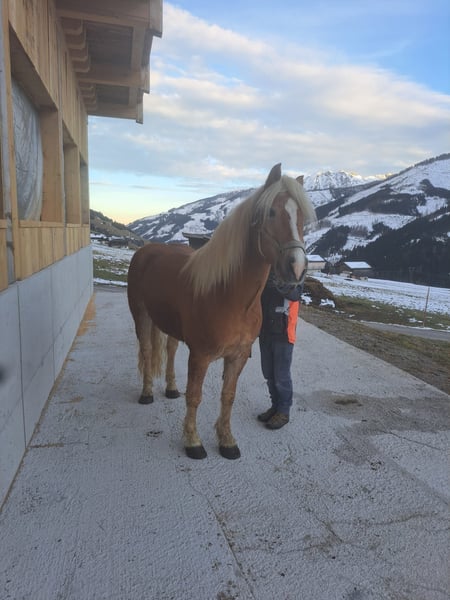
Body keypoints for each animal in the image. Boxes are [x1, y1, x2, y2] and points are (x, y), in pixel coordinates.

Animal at [127, 163, 316, 459]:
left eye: (302, 220)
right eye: (271, 212)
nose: (296, 267)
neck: (231, 298)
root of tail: (146, 251)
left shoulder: (238, 357)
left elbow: (228, 396)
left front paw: (227, 441)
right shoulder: (200, 356)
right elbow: (195, 396)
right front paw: (193, 442)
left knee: (170, 350)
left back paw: (170, 388)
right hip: (141, 315)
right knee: (147, 351)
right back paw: (146, 393)